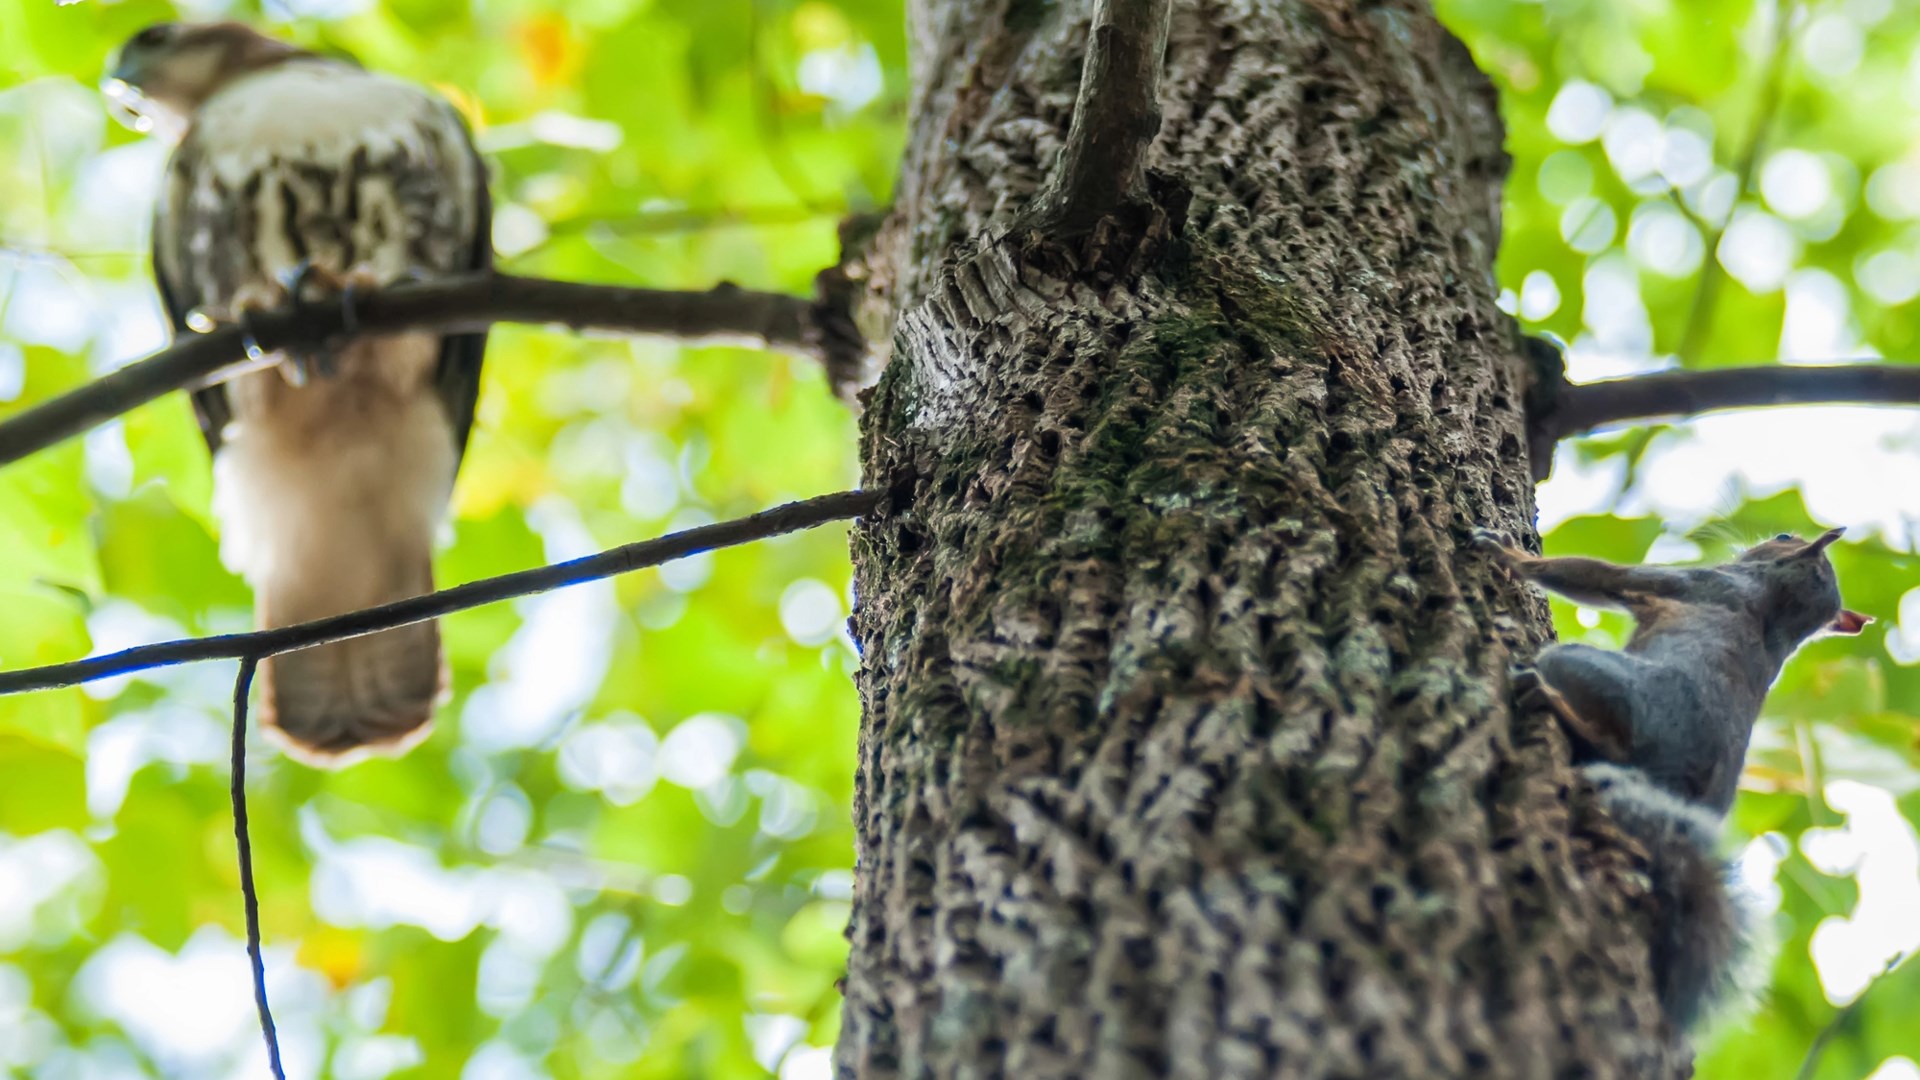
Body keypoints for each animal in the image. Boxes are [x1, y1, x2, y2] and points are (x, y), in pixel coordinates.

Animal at [1472, 526, 1870, 1032]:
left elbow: (1596, 576)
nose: (1755, 542)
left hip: (1592, 674)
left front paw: (1508, 554)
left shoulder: (1693, 582)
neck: (1775, 607)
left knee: (1603, 736)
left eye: (1783, 536)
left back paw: (1547, 698)